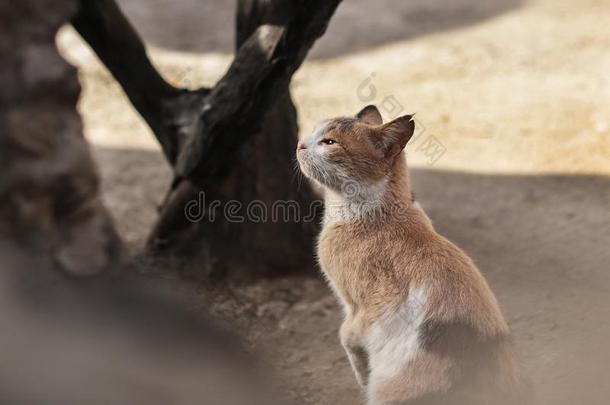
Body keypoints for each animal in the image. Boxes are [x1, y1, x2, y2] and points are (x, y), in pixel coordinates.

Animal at [296, 106, 524, 404]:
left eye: (329, 142)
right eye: (313, 132)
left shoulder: (363, 307)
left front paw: (361, 376)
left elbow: (346, 334)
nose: (300, 144)